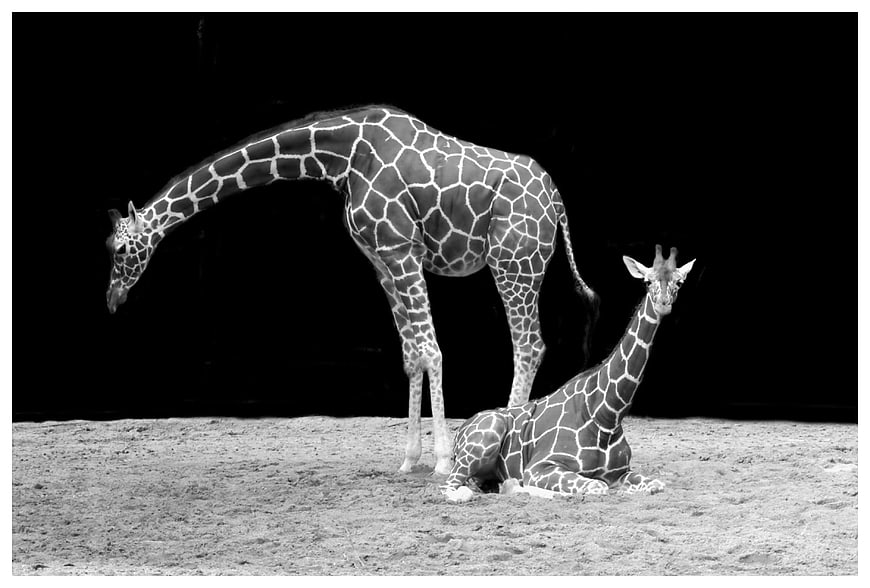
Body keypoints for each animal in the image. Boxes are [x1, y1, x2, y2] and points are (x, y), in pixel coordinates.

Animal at [104, 105, 598, 475]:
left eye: (121, 248)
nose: (112, 299)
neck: (342, 158)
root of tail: (557, 200)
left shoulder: (402, 250)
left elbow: (432, 350)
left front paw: (440, 461)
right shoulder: (382, 261)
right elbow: (411, 355)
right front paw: (409, 460)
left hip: (514, 262)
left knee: (529, 344)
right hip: (517, 264)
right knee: (527, 344)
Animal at [441, 245, 695, 502]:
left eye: (679, 281)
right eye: (647, 281)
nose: (663, 303)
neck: (607, 414)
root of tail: (459, 432)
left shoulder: (620, 472)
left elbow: (656, 484)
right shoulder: (540, 467)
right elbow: (597, 486)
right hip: (484, 439)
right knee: (451, 488)